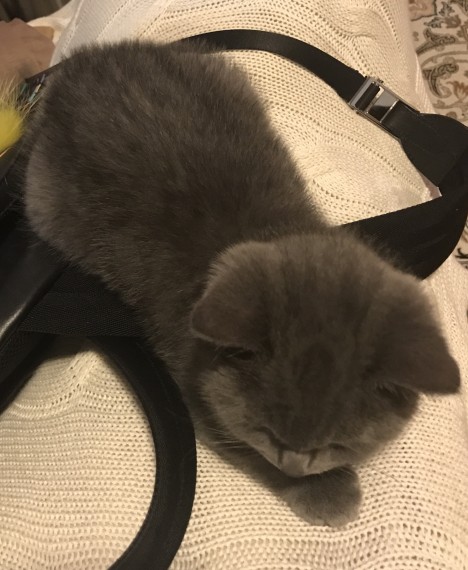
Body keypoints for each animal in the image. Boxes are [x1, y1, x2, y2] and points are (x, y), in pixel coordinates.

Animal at [23, 39, 460, 526]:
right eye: (266, 431)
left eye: (337, 444)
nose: (295, 464)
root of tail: (84, 59)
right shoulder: (195, 386)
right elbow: (243, 448)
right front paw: (325, 491)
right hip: (44, 199)